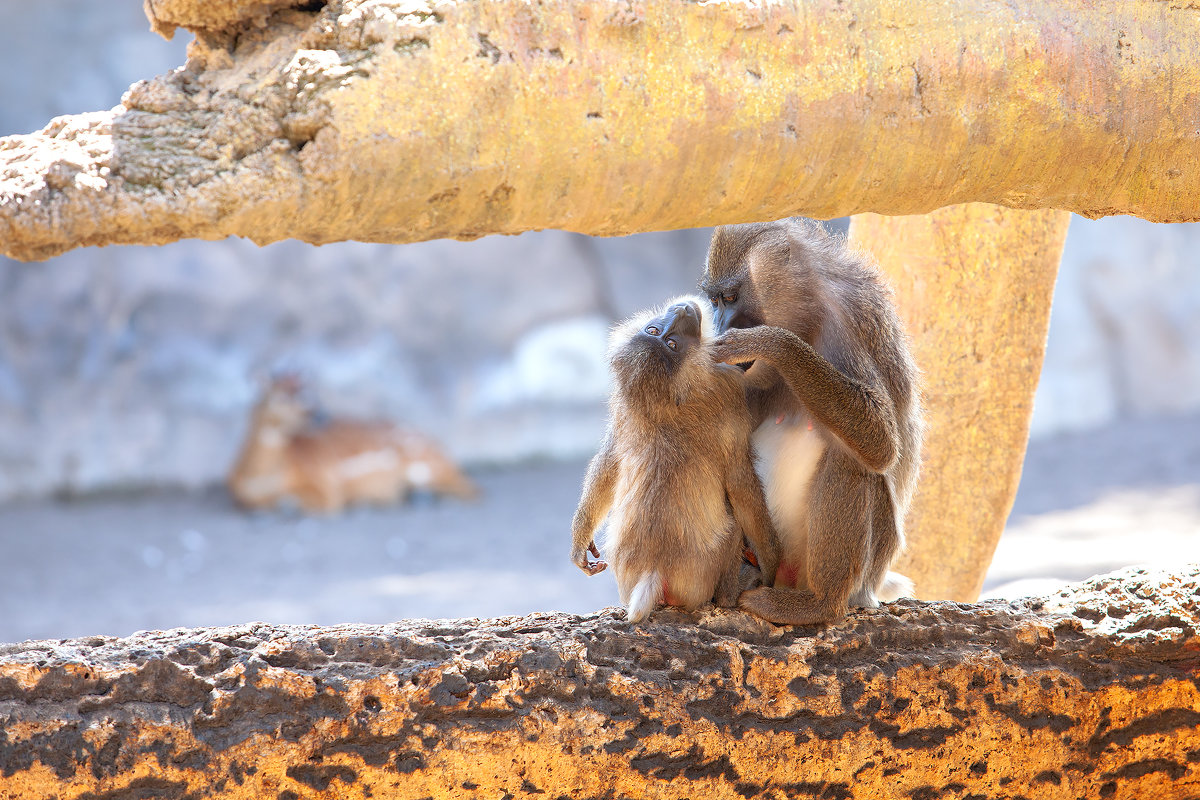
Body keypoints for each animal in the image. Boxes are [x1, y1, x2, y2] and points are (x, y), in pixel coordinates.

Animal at [229, 376, 477, 513]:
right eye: (280, 396)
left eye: (310, 396)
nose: (320, 416)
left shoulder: (325, 488)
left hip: (424, 467)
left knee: (469, 489)